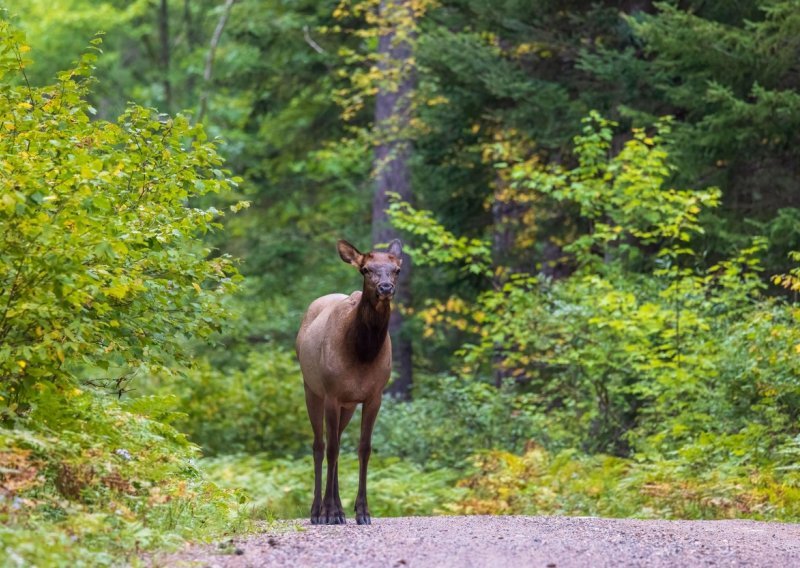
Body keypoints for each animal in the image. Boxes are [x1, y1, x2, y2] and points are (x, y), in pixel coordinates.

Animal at [296, 237, 404, 524]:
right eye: (365, 269)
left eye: (397, 270)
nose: (385, 288)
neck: (362, 354)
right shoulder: (332, 394)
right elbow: (332, 449)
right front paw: (328, 512)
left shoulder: (373, 396)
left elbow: (364, 448)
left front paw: (362, 511)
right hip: (312, 389)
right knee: (320, 445)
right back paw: (318, 510)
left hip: (348, 405)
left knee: (335, 441)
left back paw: (339, 509)